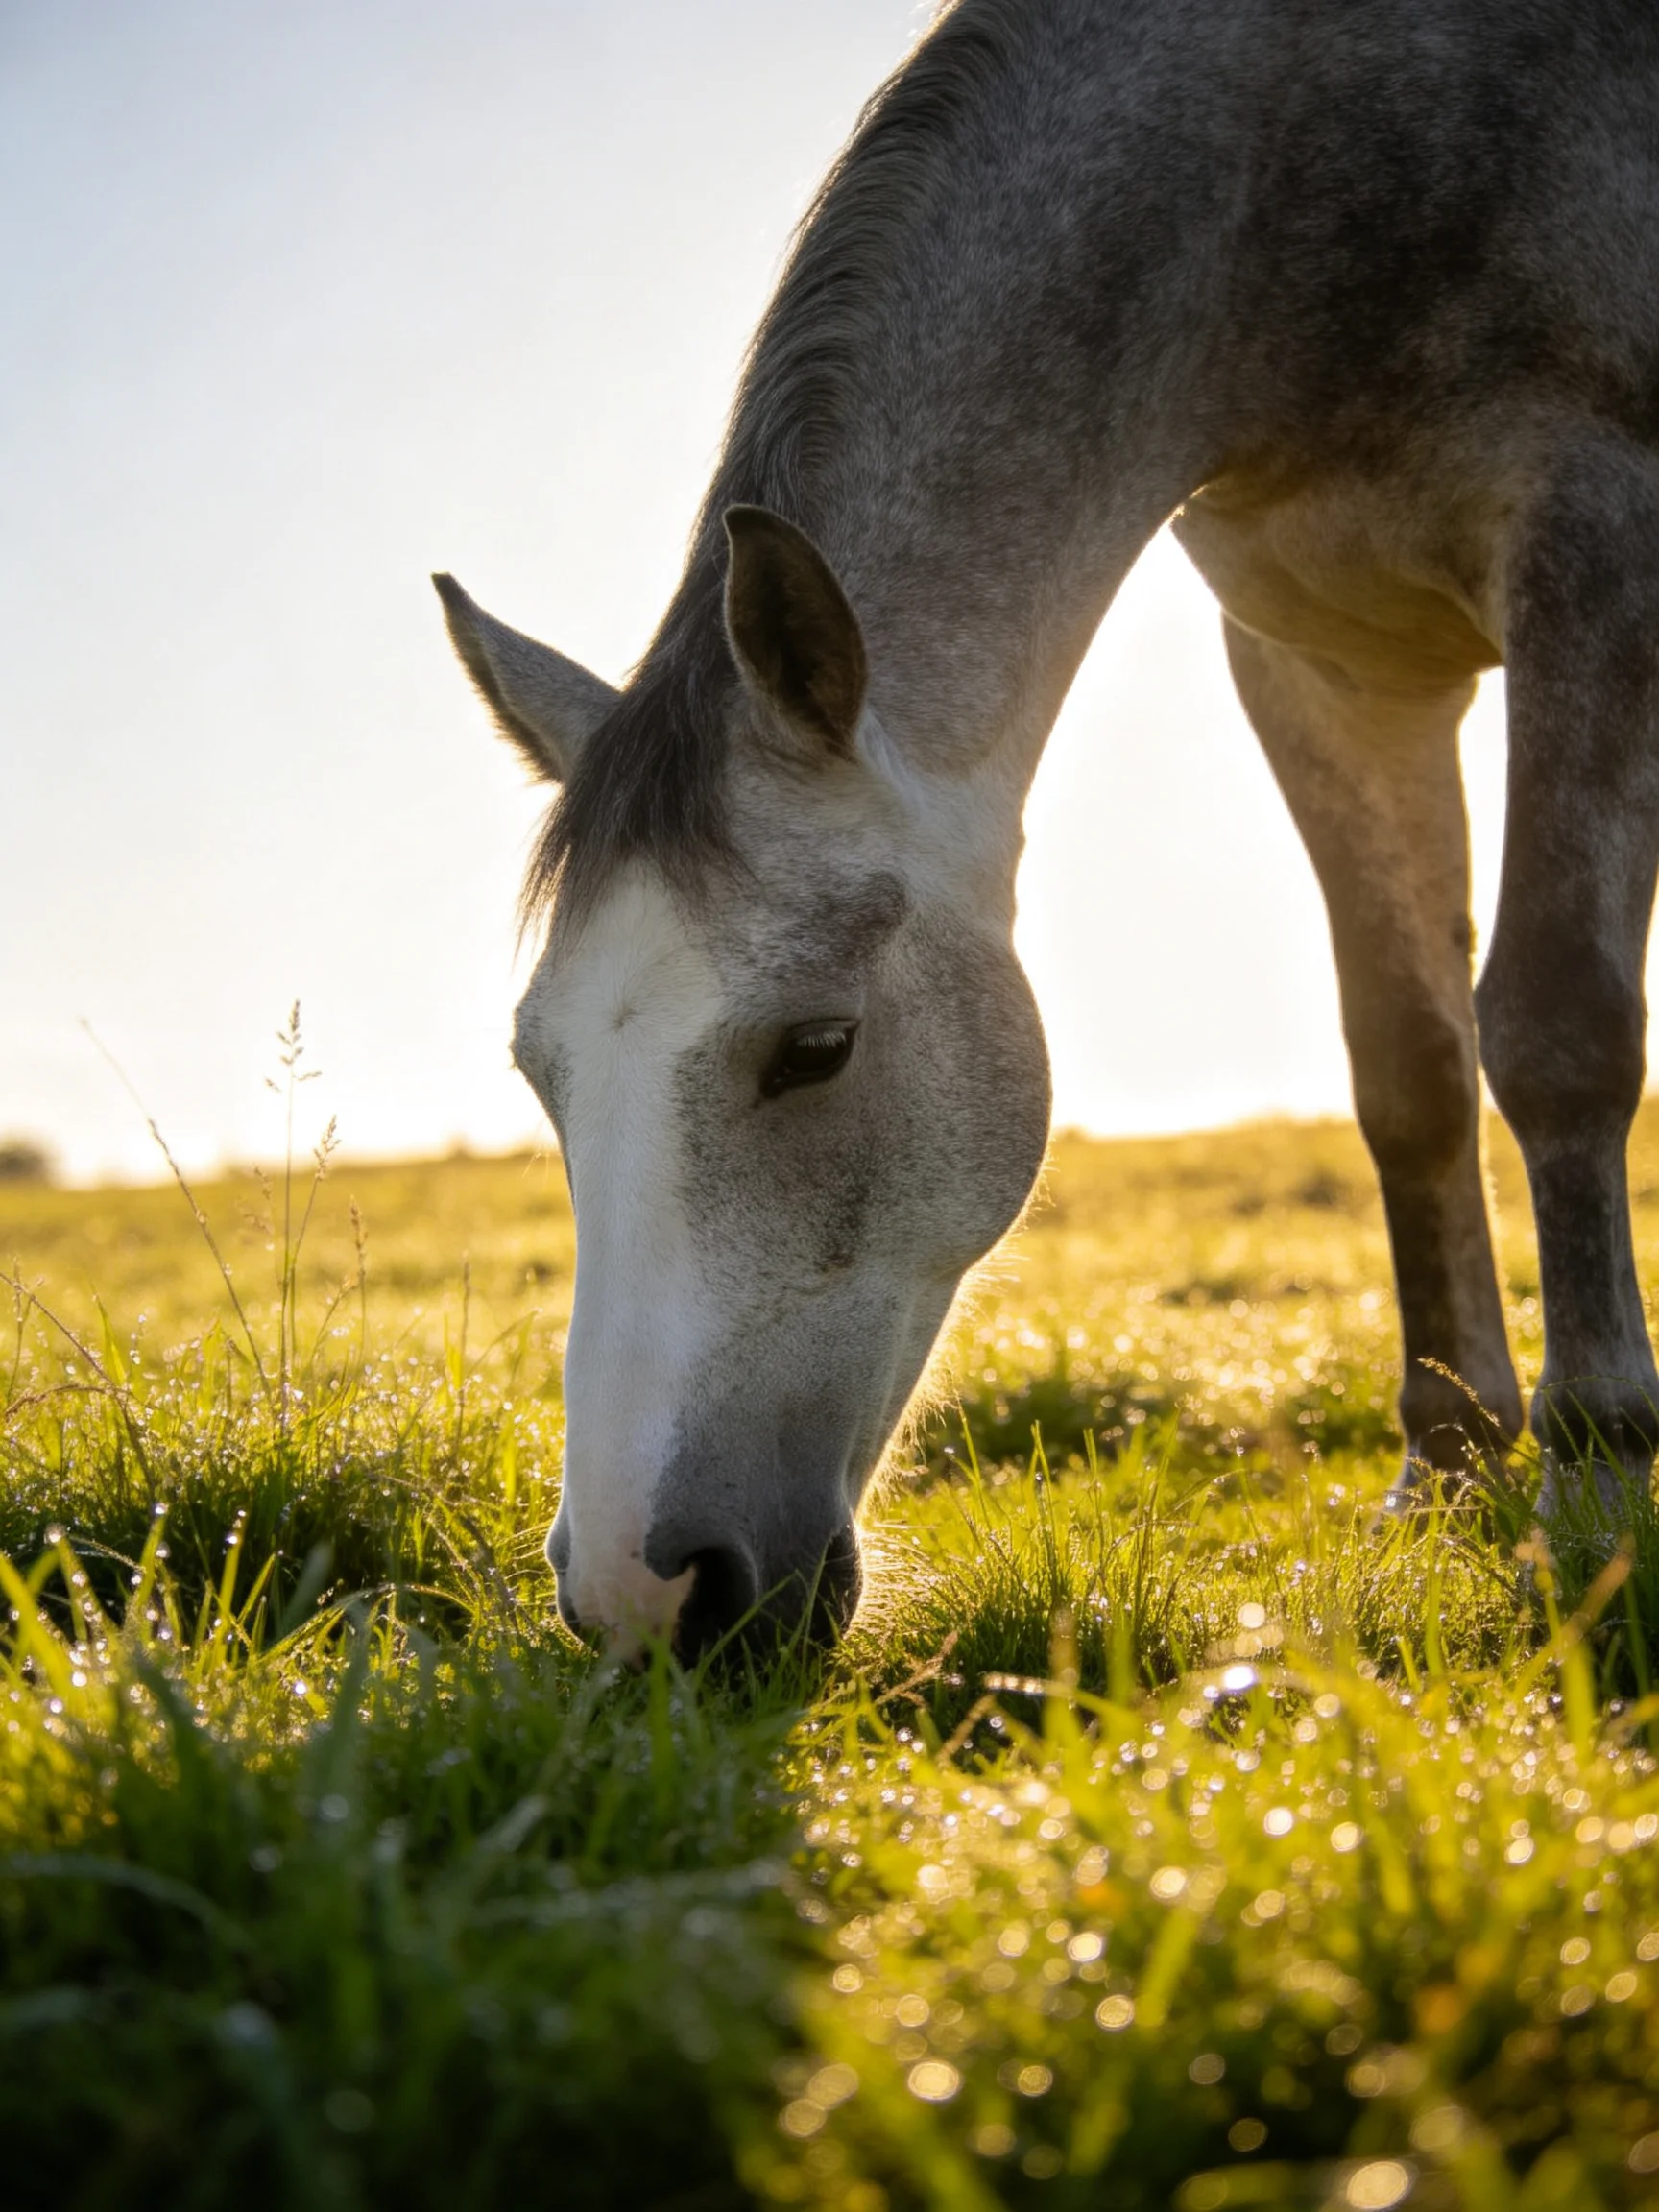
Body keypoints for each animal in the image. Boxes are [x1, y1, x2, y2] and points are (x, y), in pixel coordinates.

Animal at [437, 0, 1659, 1660]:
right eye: (539, 1070)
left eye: (815, 1047)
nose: (640, 1593)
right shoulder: (1325, 666)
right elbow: (1408, 1065)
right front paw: (1450, 1470)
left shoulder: (1597, 539)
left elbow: (1555, 1028)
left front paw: (1597, 1477)